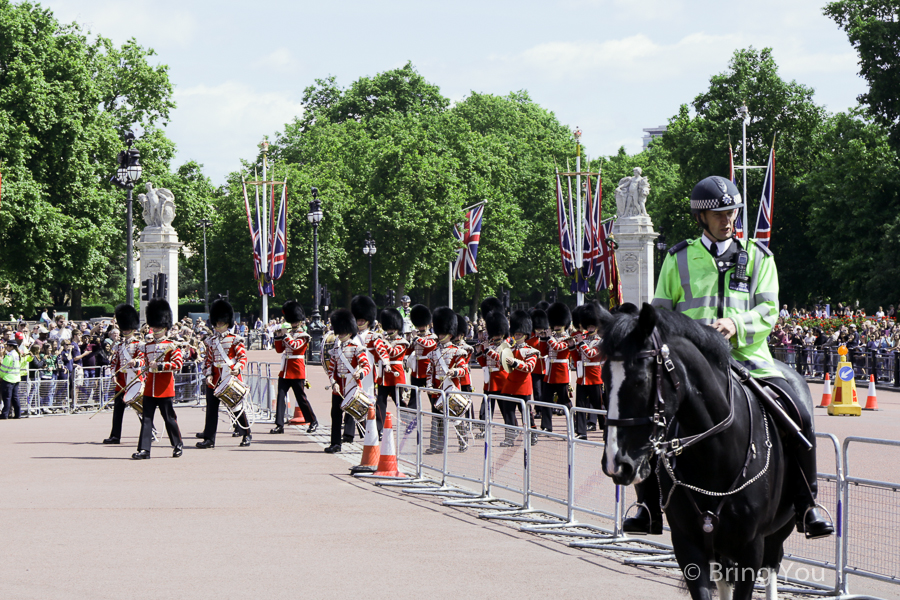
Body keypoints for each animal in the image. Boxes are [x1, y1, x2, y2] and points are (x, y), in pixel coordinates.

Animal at [600, 304, 804, 600]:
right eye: (604, 378)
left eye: (640, 380)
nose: (616, 464)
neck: (715, 458)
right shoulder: (688, 545)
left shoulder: (751, 546)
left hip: (778, 531)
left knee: (772, 567)